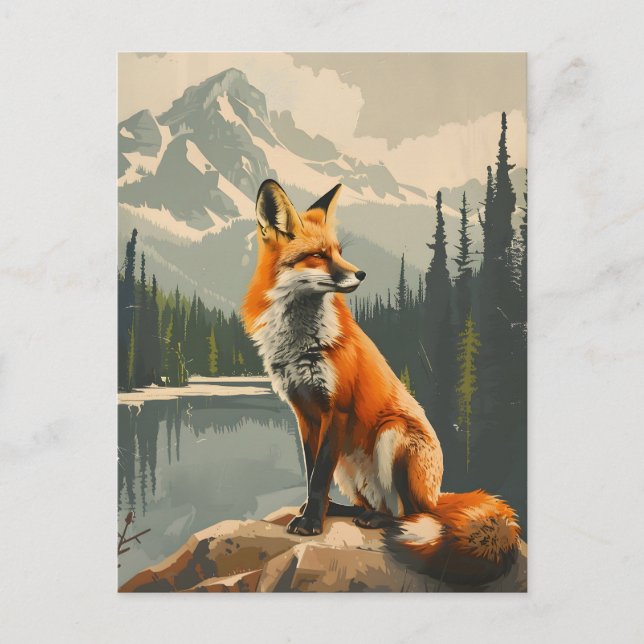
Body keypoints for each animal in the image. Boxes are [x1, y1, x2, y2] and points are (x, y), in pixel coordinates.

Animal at [241, 179, 521, 586]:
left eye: (339, 253)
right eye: (318, 256)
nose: (360, 274)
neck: (301, 344)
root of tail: (437, 495)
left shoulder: (337, 408)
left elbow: (318, 475)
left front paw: (309, 523)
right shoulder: (304, 412)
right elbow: (312, 474)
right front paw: (312, 512)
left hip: (393, 436)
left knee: (407, 514)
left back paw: (377, 520)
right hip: (349, 467)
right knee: (373, 502)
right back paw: (346, 510)